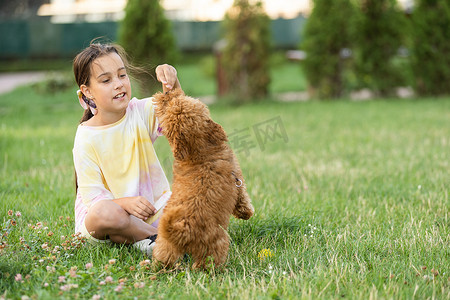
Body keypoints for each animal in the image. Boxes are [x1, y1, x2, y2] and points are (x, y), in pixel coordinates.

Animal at [153, 88, 255, 268]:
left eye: (170, 103)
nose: (166, 92)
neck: (197, 152)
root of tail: (181, 229)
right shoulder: (237, 178)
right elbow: (243, 199)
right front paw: (247, 213)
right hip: (215, 244)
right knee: (205, 264)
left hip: (166, 247)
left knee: (162, 260)